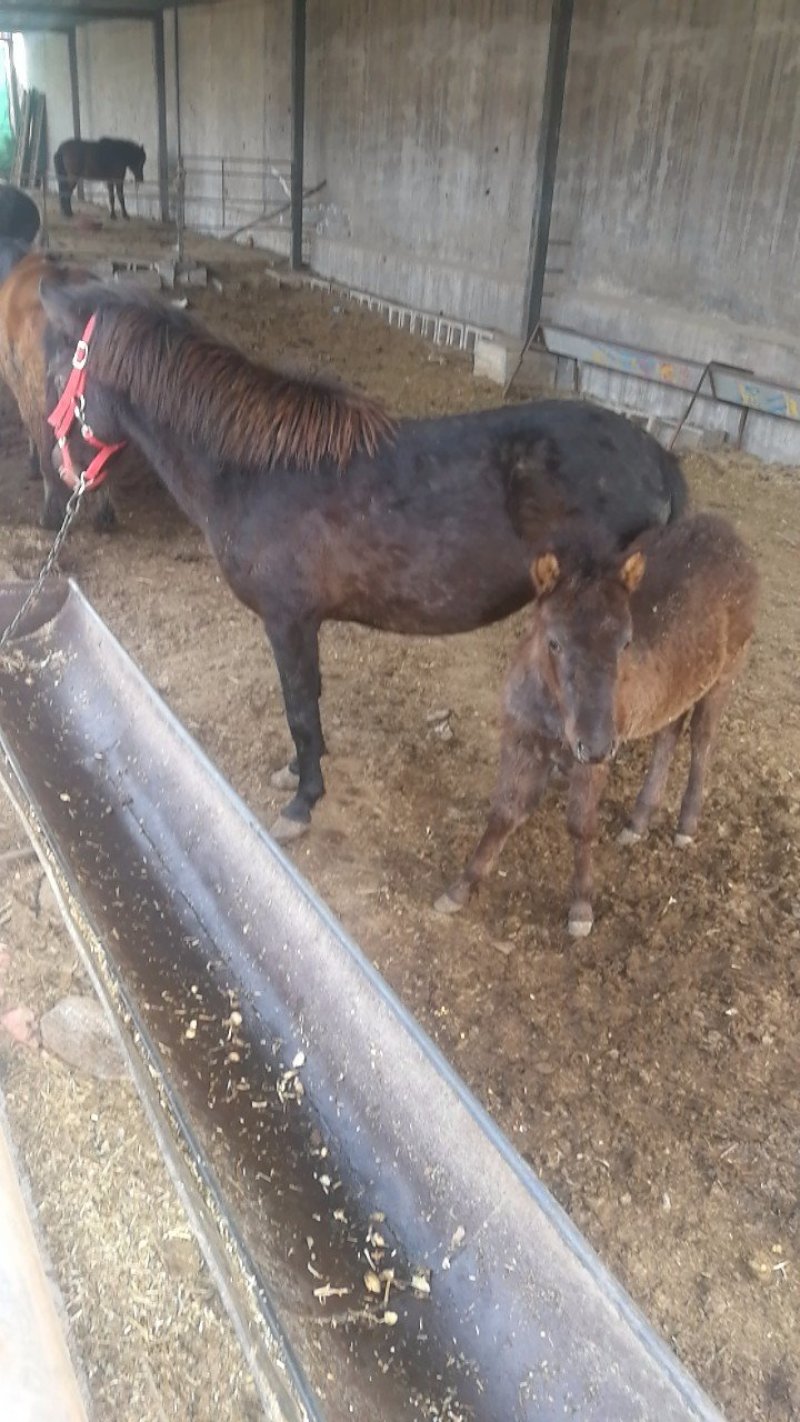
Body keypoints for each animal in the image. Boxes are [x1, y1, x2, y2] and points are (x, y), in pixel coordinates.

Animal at [39, 277, 689, 842]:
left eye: (57, 374)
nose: (61, 467)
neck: (257, 471)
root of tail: (657, 457)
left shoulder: (287, 621)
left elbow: (299, 706)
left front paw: (303, 801)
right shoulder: (303, 623)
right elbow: (311, 700)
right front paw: (300, 771)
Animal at [435, 513, 758, 936]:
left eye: (626, 642)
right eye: (554, 642)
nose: (597, 743)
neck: (553, 715)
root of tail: (729, 533)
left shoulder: (591, 761)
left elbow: (580, 825)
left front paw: (581, 908)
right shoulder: (520, 738)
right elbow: (504, 811)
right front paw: (460, 888)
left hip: (725, 675)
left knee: (702, 740)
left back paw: (686, 825)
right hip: (676, 686)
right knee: (669, 732)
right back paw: (638, 821)